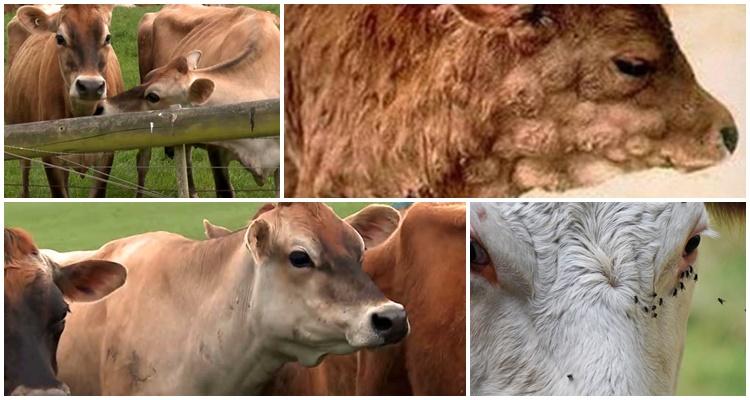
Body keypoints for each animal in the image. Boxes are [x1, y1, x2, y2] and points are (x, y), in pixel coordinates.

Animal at [5, 5, 125, 198]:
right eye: (60, 38)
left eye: (107, 37)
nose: (90, 86)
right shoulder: (50, 155)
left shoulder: (107, 155)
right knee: (24, 172)